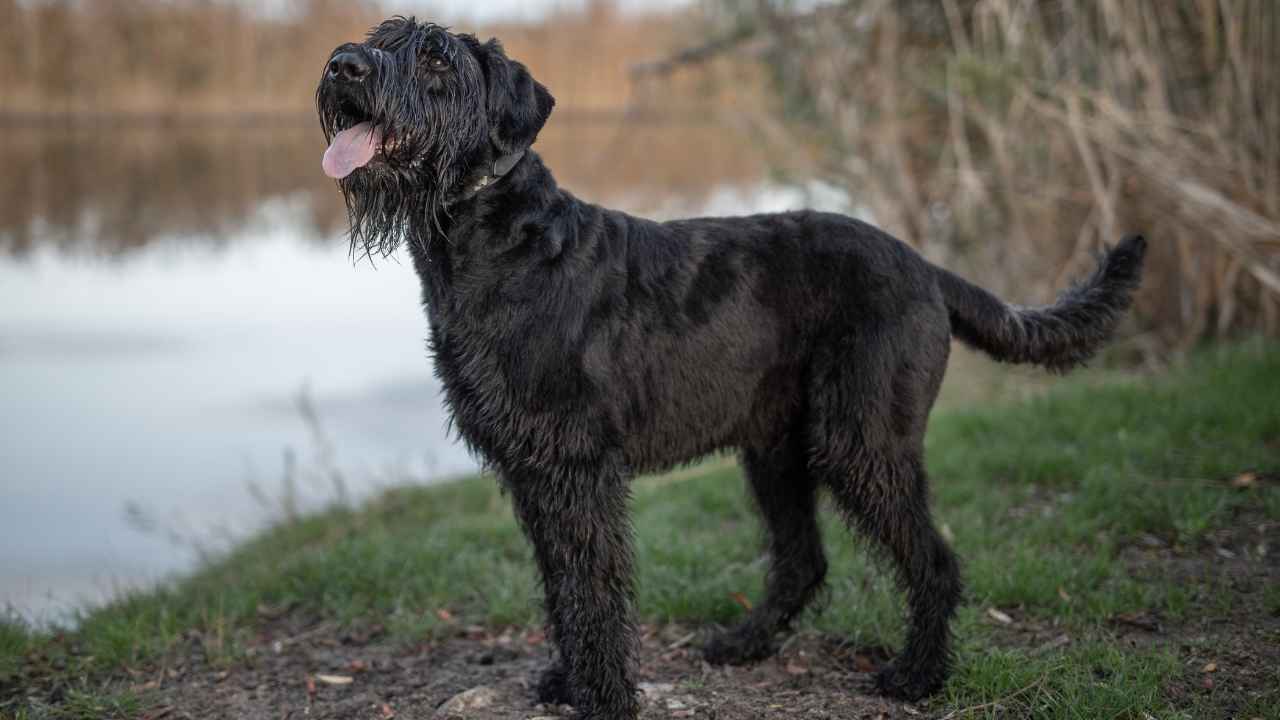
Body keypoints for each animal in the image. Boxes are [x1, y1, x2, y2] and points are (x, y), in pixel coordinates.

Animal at [314, 15, 1146, 712]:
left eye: (434, 58)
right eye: (381, 36)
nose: (344, 64)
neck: (490, 237)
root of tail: (925, 267)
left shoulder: (577, 469)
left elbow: (592, 586)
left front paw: (604, 695)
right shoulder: (533, 473)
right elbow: (560, 586)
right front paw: (567, 681)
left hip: (863, 441)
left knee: (932, 559)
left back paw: (917, 676)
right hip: (778, 451)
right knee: (804, 559)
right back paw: (745, 644)